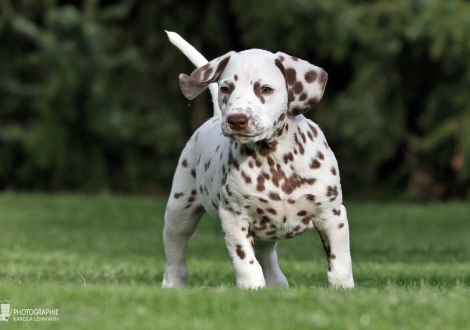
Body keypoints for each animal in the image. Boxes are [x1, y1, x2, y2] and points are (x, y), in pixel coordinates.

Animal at [162, 31, 352, 288]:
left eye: (265, 89)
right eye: (226, 88)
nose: (236, 119)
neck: (275, 161)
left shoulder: (332, 215)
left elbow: (340, 261)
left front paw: (343, 288)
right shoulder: (233, 218)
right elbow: (246, 263)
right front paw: (252, 288)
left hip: (264, 234)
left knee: (267, 257)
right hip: (179, 210)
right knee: (176, 253)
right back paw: (172, 284)